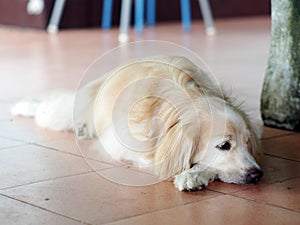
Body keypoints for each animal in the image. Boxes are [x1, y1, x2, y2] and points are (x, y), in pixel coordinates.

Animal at [12, 55, 262, 191]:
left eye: (248, 143)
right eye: (224, 146)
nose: (258, 175)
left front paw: (194, 175)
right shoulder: (124, 145)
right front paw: (192, 174)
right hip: (68, 114)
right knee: (46, 108)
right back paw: (19, 107)